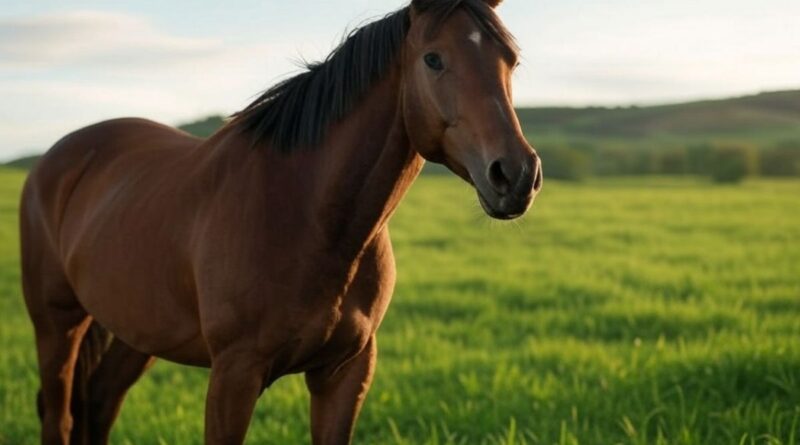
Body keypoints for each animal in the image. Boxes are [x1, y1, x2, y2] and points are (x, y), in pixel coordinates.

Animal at [20, 0, 544, 442]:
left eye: (511, 62)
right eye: (433, 59)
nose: (516, 174)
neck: (308, 216)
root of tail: (60, 155)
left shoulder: (345, 373)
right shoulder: (234, 375)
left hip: (139, 331)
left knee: (99, 402)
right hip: (57, 323)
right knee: (59, 414)